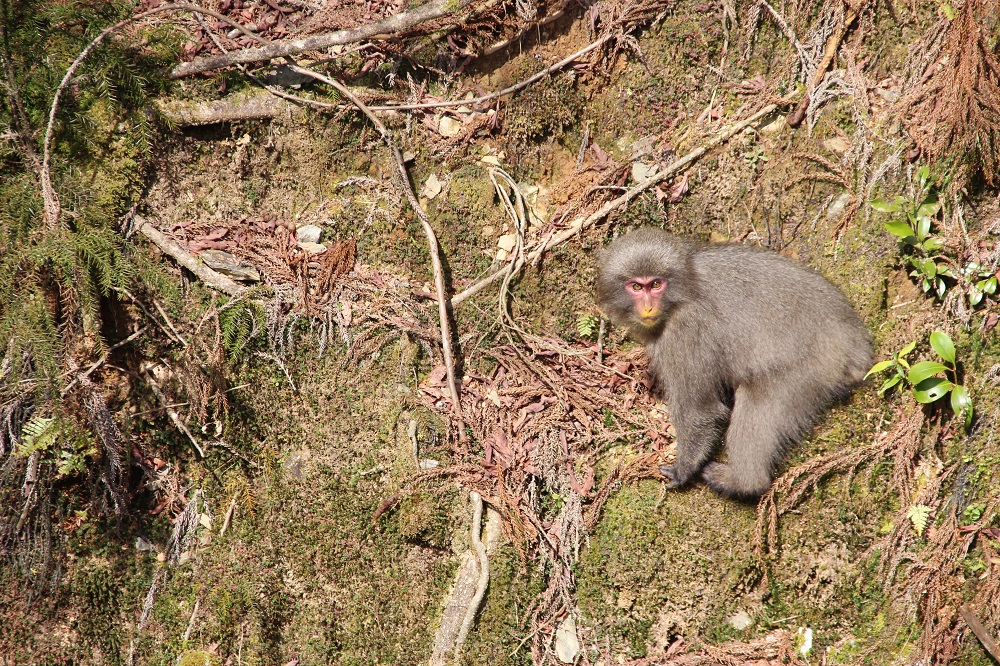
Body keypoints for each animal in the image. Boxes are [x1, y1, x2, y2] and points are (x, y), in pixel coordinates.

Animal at [596, 227, 872, 500]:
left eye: (655, 284)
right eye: (636, 286)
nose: (648, 307)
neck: (684, 286)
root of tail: (854, 342)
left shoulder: (686, 331)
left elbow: (701, 410)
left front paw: (684, 468)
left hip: (812, 369)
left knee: (757, 399)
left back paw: (743, 482)